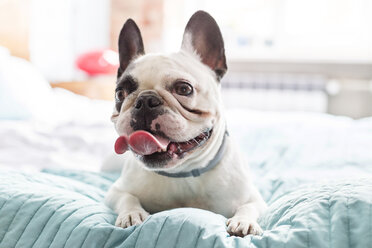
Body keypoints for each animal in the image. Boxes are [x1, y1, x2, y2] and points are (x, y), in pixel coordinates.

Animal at [105, 10, 268, 237]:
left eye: (184, 89)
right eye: (120, 93)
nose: (145, 100)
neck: (183, 173)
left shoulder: (255, 199)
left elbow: (249, 207)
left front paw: (244, 221)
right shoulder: (115, 190)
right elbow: (127, 197)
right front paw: (131, 214)